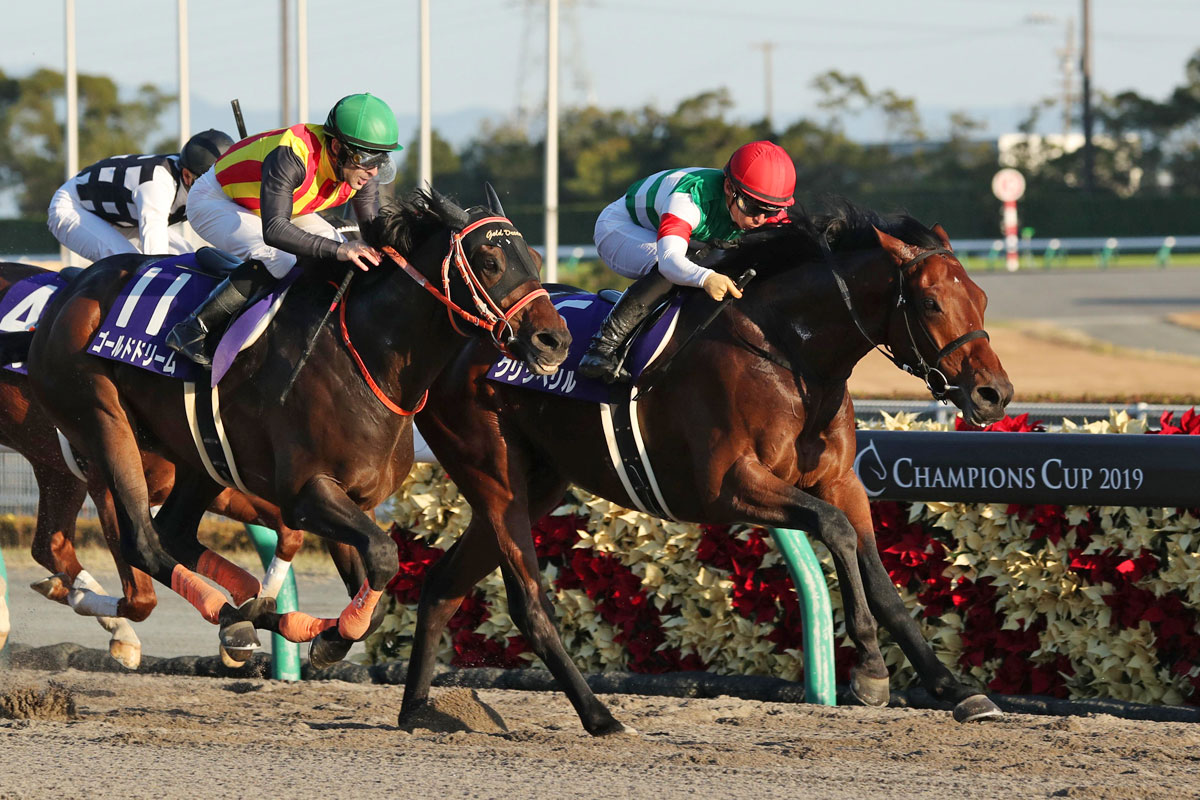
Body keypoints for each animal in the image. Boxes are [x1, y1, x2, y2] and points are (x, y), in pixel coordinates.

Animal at [0, 261, 368, 669]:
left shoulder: (217, 479)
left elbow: (288, 534)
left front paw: (249, 617)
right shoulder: (107, 484)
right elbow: (142, 595)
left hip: (55, 470)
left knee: (49, 545)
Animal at [400, 202, 1014, 735]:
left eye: (983, 298)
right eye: (931, 303)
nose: (994, 394)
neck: (788, 352)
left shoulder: (840, 482)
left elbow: (879, 578)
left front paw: (955, 689)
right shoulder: (728, 487)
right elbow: (835, 531)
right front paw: (868, 668)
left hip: (539, 482)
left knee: (444, 582)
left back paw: (417, 711)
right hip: (494, 475)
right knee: (527, 602)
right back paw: (601, 717)